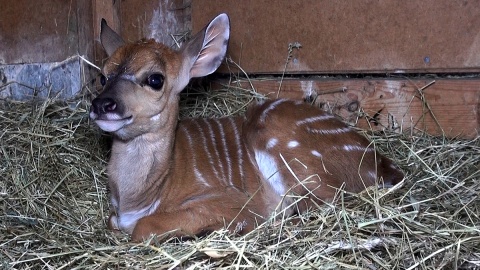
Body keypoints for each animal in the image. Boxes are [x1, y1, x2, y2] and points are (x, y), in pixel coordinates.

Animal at [89, 13, 402, 243]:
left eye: (155, 79)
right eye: (102, 76)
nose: (103, 105)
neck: (145, 195)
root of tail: (382, 164)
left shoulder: (233, 201)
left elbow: (144, 228)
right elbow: (113, 222)